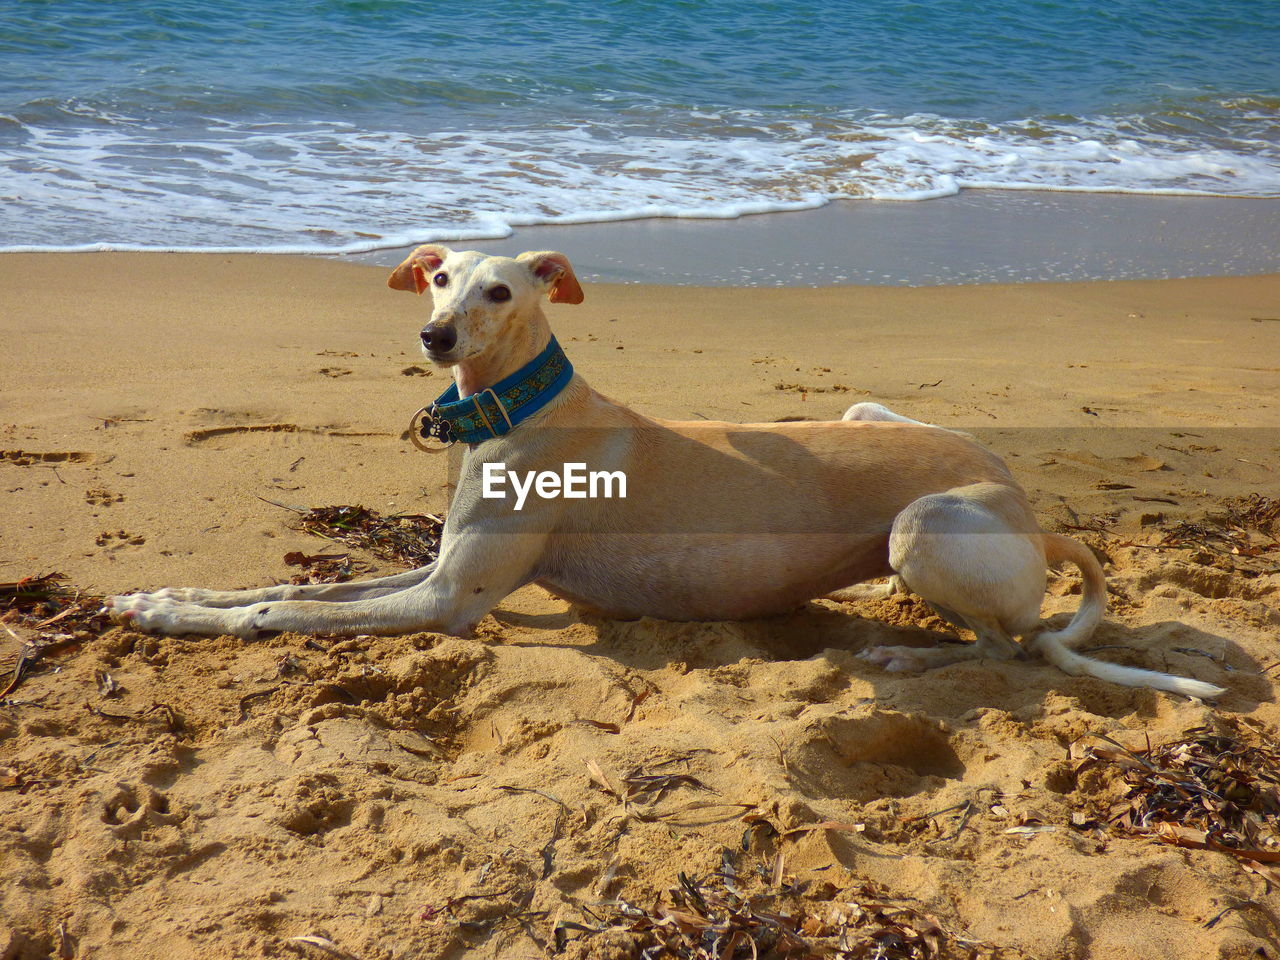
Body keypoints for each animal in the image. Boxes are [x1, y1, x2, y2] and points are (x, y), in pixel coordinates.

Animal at [110, 245, 1228, 701]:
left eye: (500, 291)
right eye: (439, 276)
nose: (432, 337)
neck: (524, 408)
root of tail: (1026, 502)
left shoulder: (450, 601)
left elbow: (284, 610)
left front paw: (185, 618)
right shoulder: (435, 570)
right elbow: (286, 585)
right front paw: (160, 596)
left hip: (927, 524)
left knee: (1010, 648)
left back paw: (907, 659)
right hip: (870, 415)